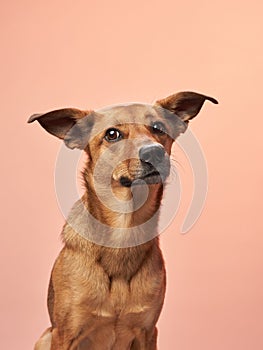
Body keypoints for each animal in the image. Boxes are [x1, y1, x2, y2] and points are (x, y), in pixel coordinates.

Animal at [28, 91, 219, 348]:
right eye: (112, 134)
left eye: (158, 127)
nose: (154, 152)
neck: (124, 232)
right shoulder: (65, 334)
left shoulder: (147, 332)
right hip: (45, 336)